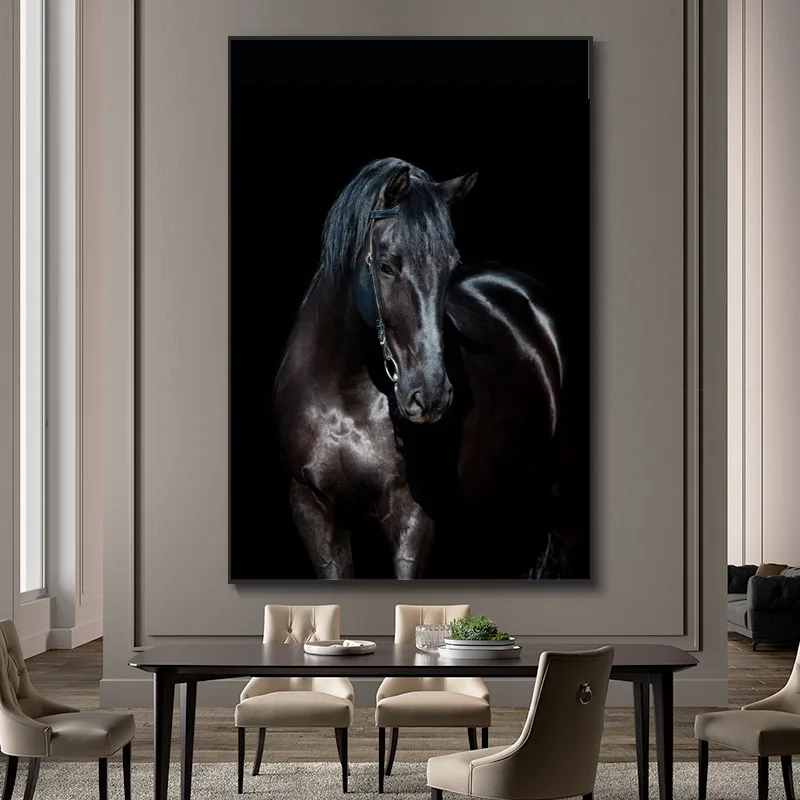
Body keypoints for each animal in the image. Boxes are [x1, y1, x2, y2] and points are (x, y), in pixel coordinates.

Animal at [273, 157, 565, 579]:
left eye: (451, 265)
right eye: (385, 265)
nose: (430, 396)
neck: (343, 396)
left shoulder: (413, 518)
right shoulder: (313, 512)